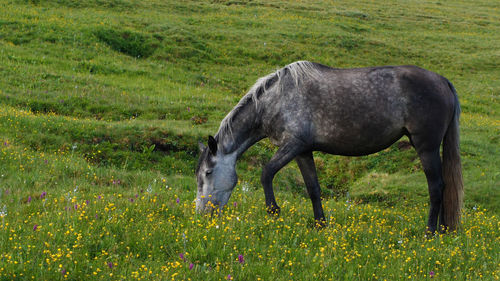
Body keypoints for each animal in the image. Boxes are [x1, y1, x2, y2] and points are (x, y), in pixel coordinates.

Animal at [196, 60, 464, 232]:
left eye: (208, 173)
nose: (201, 215)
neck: (276, 100)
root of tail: (442, 81)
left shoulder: (292, 145)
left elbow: (266, 173)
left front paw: (273, 211)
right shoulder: (303, 151)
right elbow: (313, 188)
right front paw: (320, 225)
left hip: (426, 147)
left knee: (436, 187)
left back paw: (430, 232)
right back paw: (443, 230)